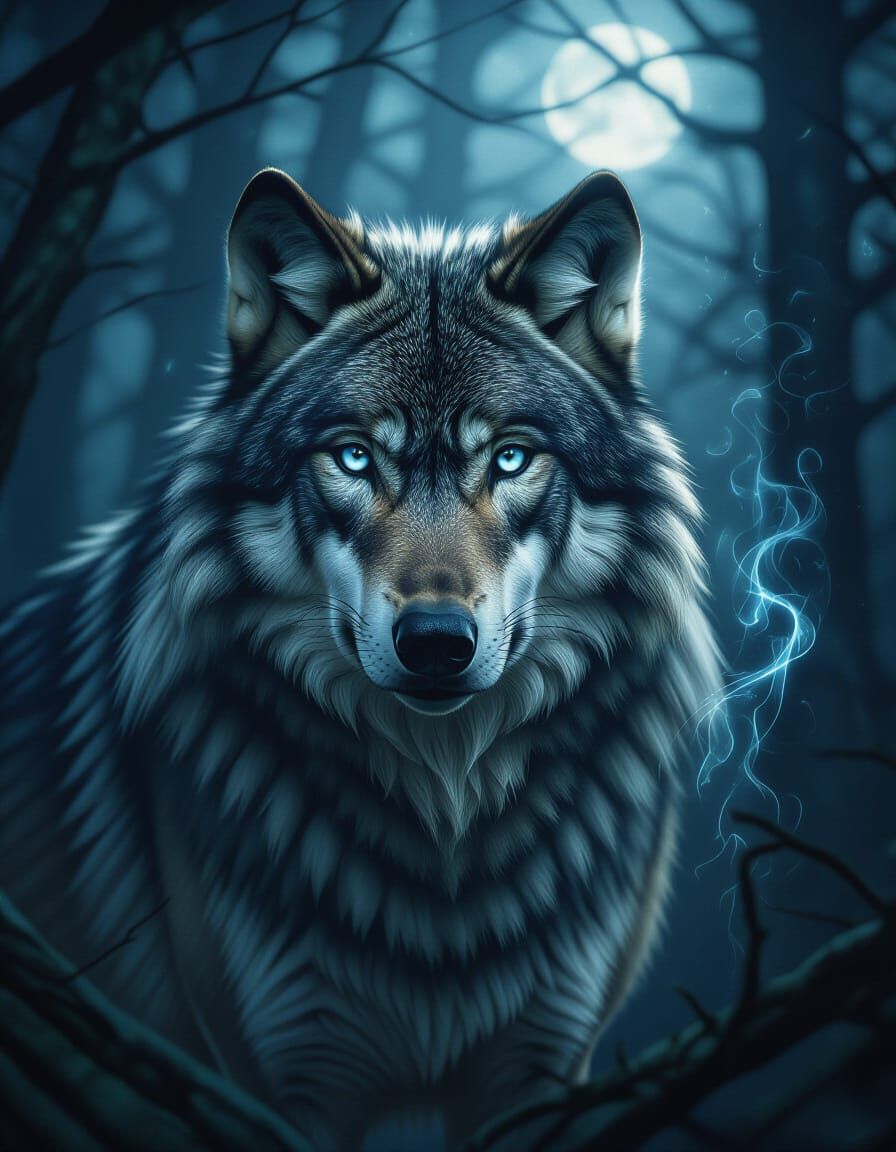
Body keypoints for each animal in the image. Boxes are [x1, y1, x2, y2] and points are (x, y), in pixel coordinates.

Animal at [0, 168, 720, 1150]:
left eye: (510, 458)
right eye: (352, 457)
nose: (436, 643)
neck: (444, 803)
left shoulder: (545, 1068)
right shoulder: (274, 1076)